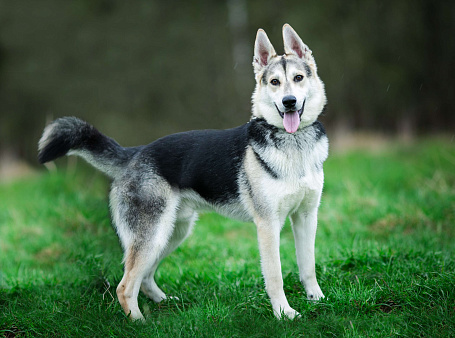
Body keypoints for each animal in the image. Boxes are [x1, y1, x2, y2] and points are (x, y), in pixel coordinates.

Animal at [38, 23, 328, 320]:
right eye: (274, 82)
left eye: (298, 78)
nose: (289, 102)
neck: (294, 144)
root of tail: (135, 153)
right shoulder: (268, 225)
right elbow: (275, 276)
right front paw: (284, 314)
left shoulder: (306, 217)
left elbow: (308, 265)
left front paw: (318, 299)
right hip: (153, 237)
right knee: (125, 285)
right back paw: (138, 322)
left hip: (172, 233)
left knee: (144, 278)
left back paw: (165, 303)